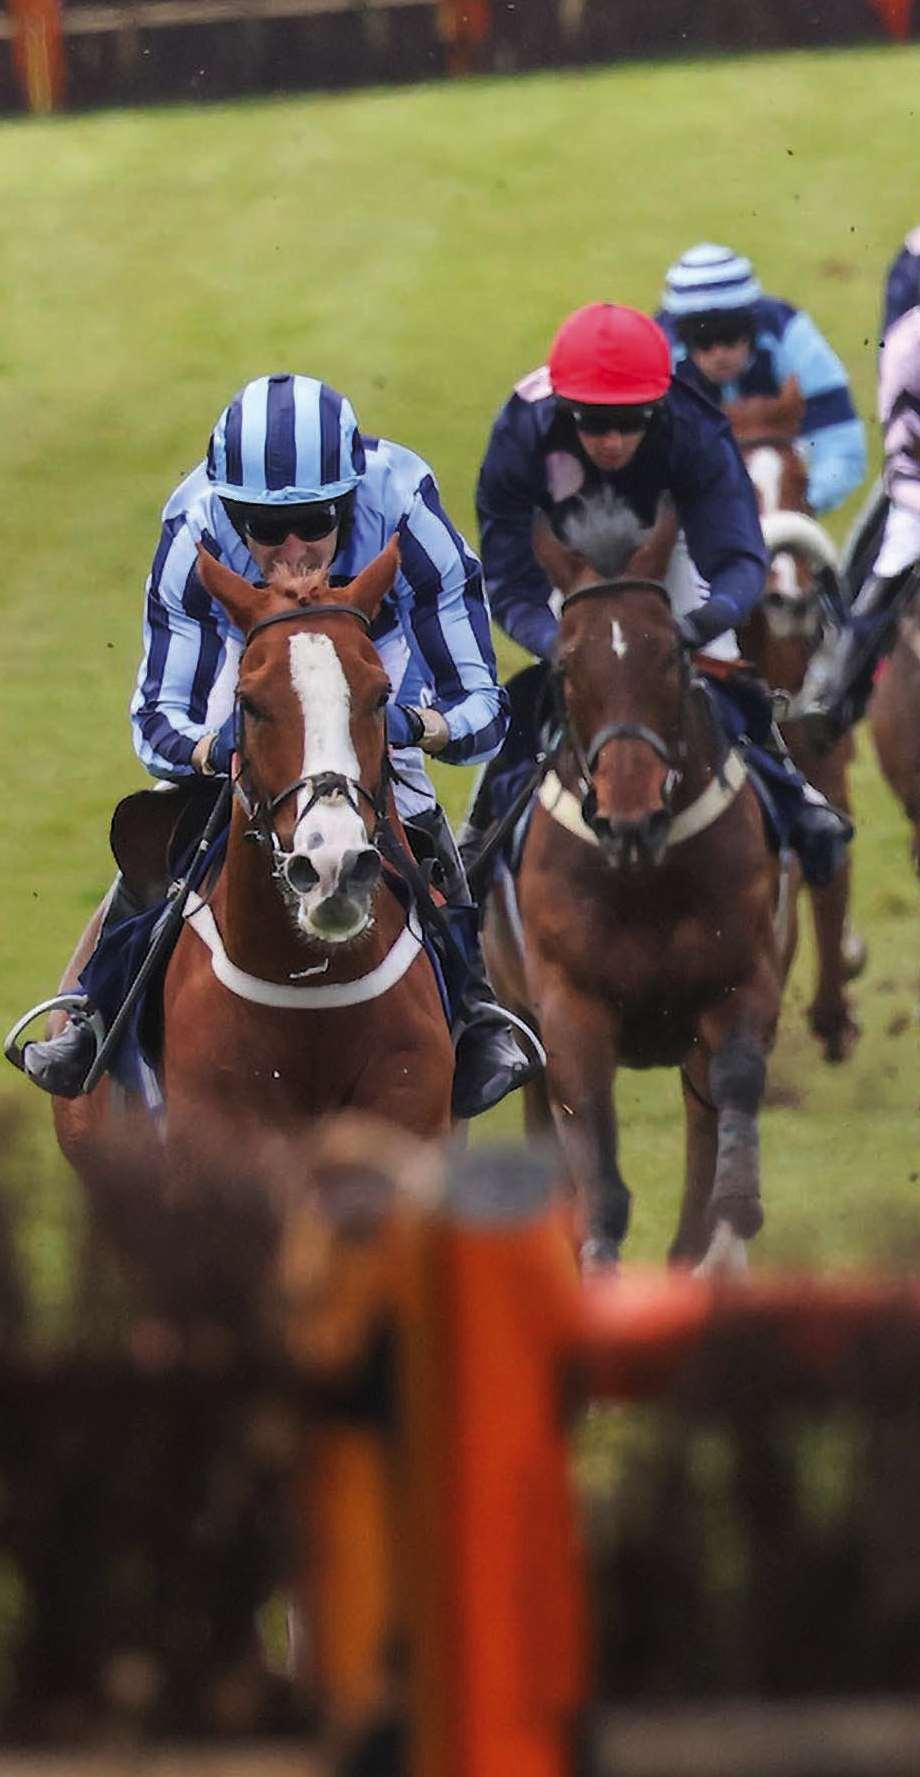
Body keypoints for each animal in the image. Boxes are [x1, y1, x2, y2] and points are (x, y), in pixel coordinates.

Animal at [482, 495, 782, 1276]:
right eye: (566, 662)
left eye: (672, 653)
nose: (631, 816)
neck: (645, 880)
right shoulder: (569, 1009)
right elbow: (596, 1175)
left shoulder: (742, 976)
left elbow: (735, 1088)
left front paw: (736, 1212)